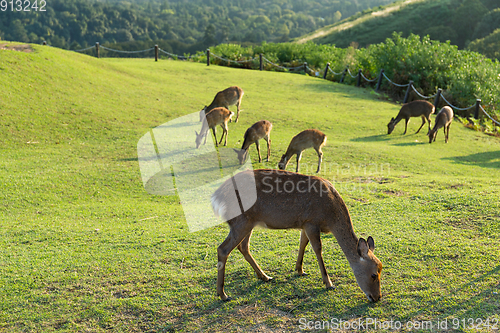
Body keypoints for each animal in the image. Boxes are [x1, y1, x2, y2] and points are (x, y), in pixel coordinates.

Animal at [211, 170, 382, 302]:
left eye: (381, 269)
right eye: (374, 274)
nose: (377, 297)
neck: (331, 218)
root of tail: (217, 196)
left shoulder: (304, 224)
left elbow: (302, 243)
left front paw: (299, 270)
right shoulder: (312, 221)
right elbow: (317, 249)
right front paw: (328, 283)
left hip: (249, 222)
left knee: (243, 246)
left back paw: (265, 276)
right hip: (241, 221)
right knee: (223, 249)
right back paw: (223, 294)